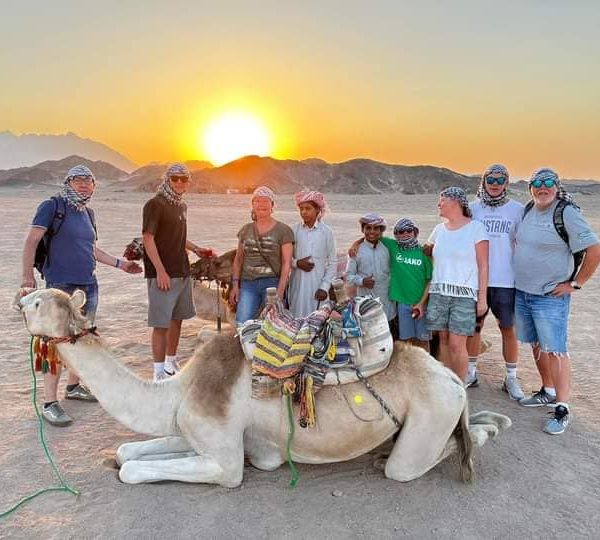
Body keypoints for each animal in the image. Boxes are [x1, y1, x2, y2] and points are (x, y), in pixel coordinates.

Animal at [15, 288, 510, 488]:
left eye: (39, 302)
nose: (18, 299)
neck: (176, 391)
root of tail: (451, 379)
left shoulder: (225, 459)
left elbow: (131, 470)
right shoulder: (194, 429)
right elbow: (125, 452)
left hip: (432, 414)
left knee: (424, 458)